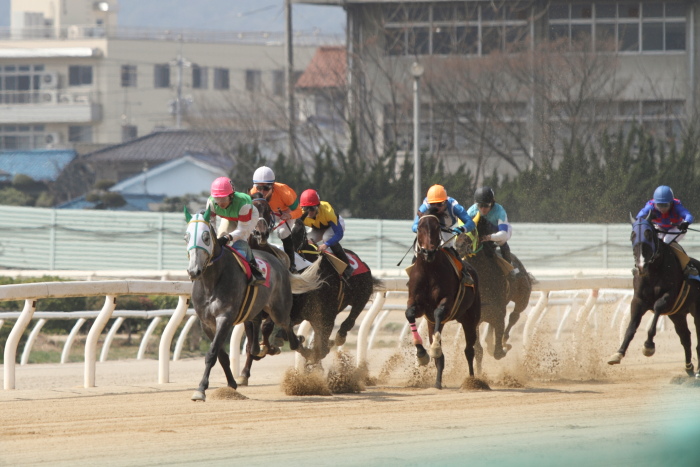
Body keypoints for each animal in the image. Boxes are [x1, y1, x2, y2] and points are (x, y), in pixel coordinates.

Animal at [182, 208, 322, 402]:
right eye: (186, 237)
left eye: (206, 237)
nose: (193, 271)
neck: (211, 281)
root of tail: (279, 261)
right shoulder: (206, 323)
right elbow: (221, 355)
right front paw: (231, 383)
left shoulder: (225, 317)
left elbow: (211, 354)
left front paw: (201, 389)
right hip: (255, 310)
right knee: (256, 335)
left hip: (279, 309)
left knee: (288, 331)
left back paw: (301, 348)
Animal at [404, 210, 482, 390]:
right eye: (419, 227)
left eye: (436, 227)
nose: (429, 252)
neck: (429, 270)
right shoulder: (418, 304)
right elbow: (409, 314)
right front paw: (422, 354)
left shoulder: (447, 301)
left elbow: (439, 312)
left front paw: (434, 347)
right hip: (433, 323)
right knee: (442, 356)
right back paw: (438, 382)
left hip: (470, 318)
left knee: (469, 350)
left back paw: (472, 380)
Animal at [456, 214, 532, 368]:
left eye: (472, 230)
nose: (459, 246)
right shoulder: (475, 319)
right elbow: (478, 350)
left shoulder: (499, 312)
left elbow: (498, 353)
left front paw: (503, 347)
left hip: (522, 298)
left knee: (514, 316)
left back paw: (505, 339)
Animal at [608, 218, 700, 378]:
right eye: (632, 235)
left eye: (649, 235)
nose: (641, 265)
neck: (653, 270)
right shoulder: (638, 300)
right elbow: (631, 327)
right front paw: (618, 354)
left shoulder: (668, 296)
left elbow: (657, 309)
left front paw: (648, 346)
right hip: (678, 314)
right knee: (685, 337)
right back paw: (689, 368)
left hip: (697, 312)